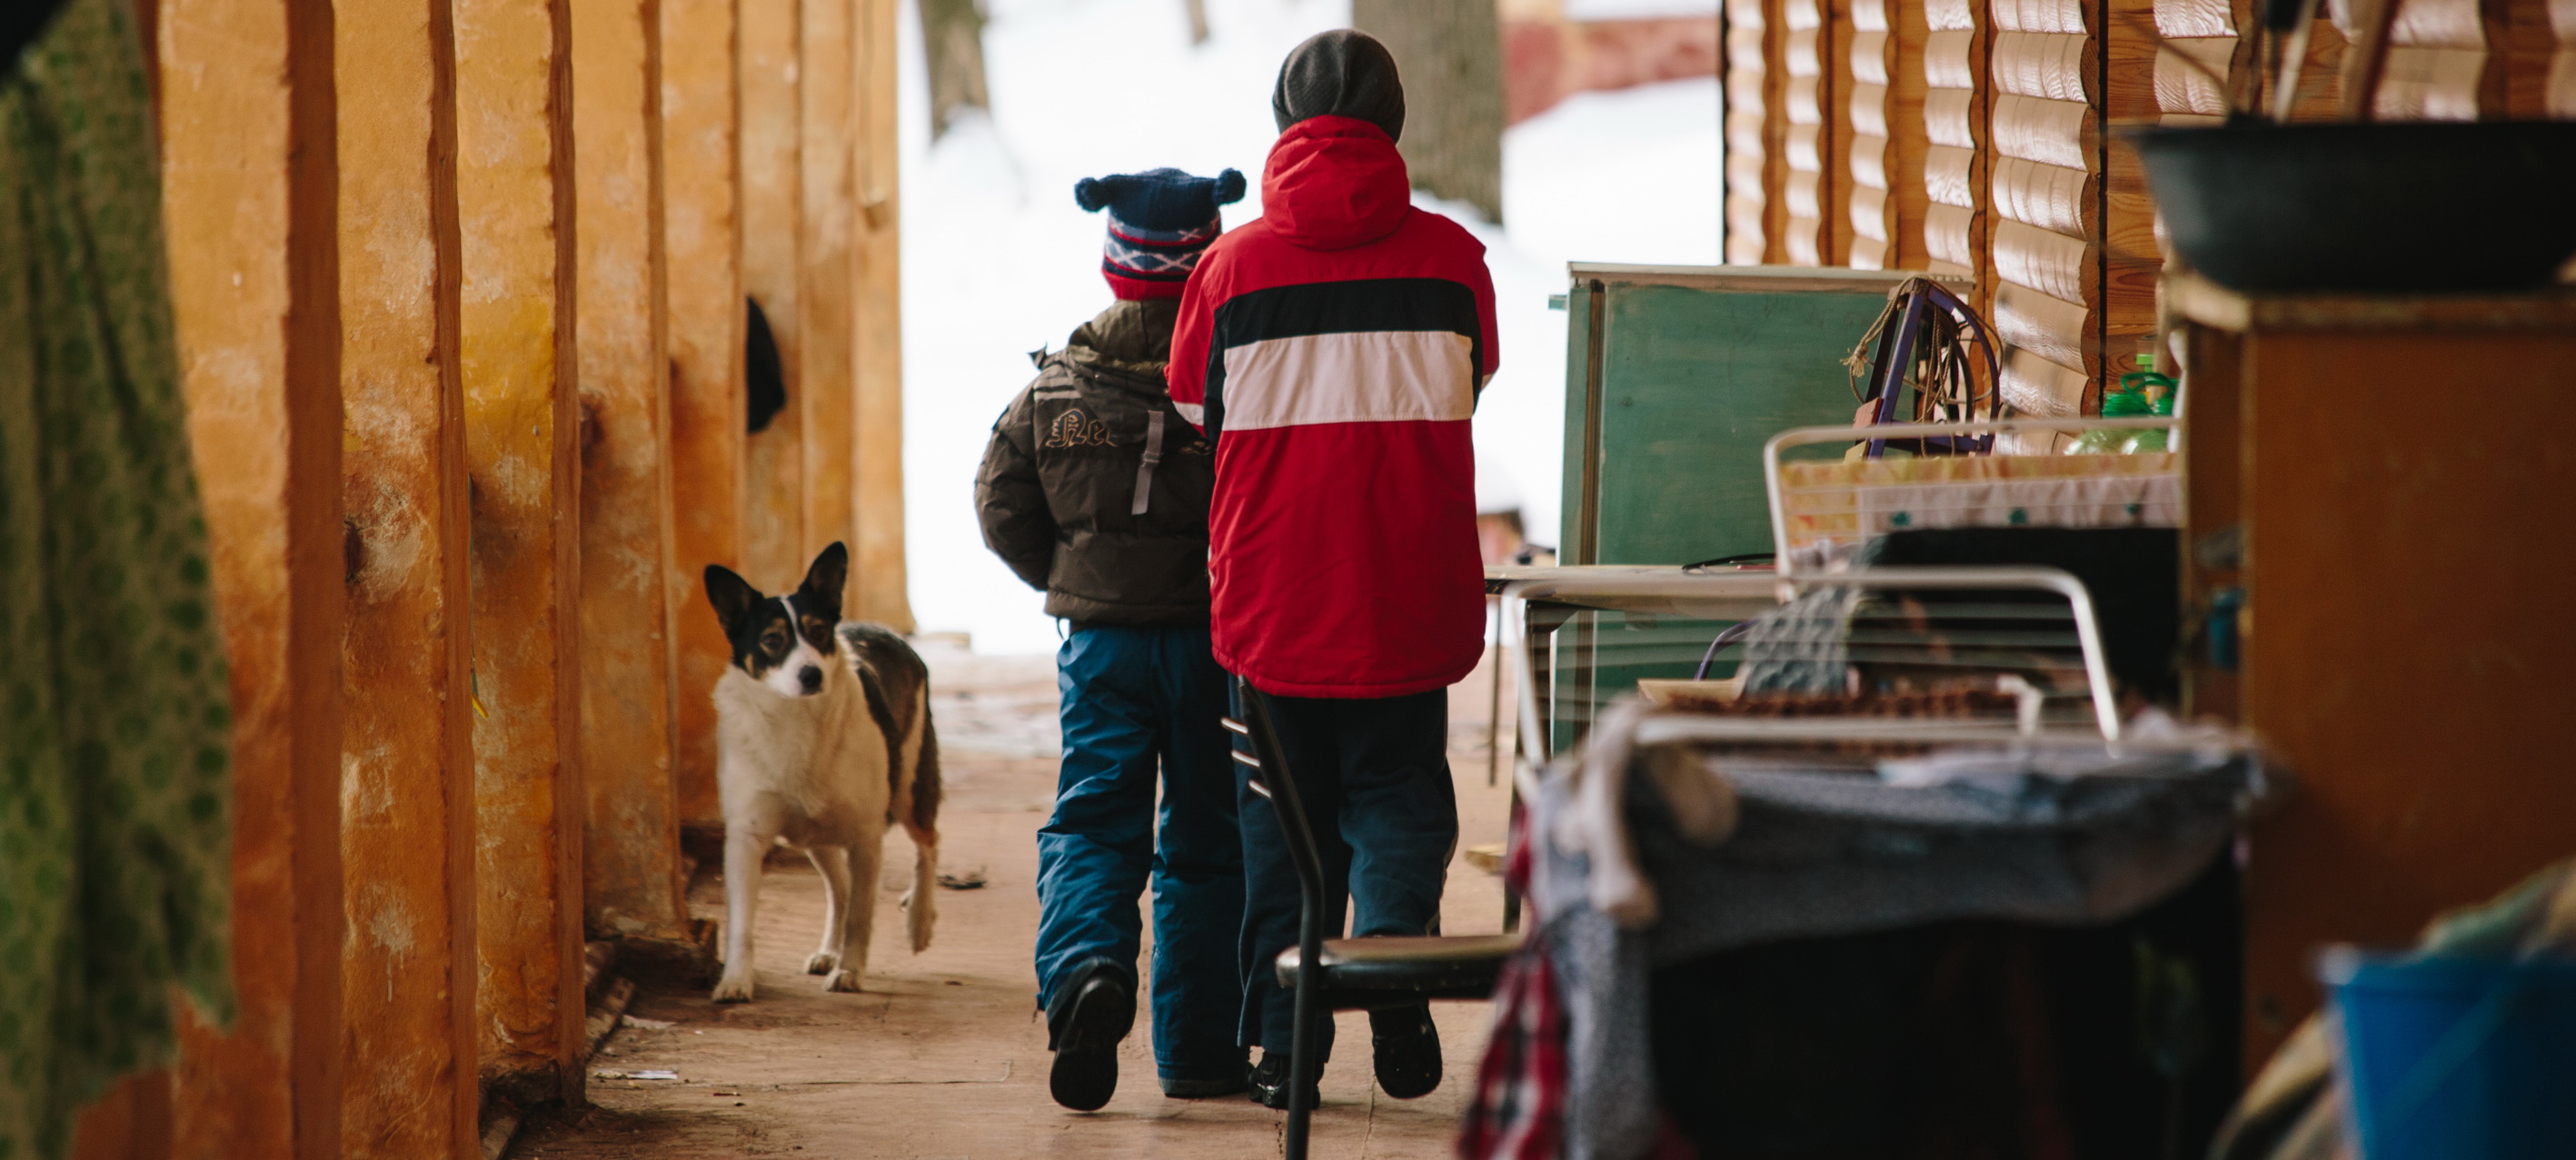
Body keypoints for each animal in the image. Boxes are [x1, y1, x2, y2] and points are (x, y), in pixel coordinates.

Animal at [701, 539, 942, 1000]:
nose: (811, 674)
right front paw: (735, 980)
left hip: (908, 789)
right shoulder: (746, 836)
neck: (797, 720)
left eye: (817, 633)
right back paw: (830, 949)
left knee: (928, 845)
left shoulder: (866, 835)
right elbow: (741, 924)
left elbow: (861, 917)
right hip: (815, 834)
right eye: (772, 640)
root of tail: (884, 630)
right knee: (840, 886)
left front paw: (850, 970)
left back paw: (919, 921)